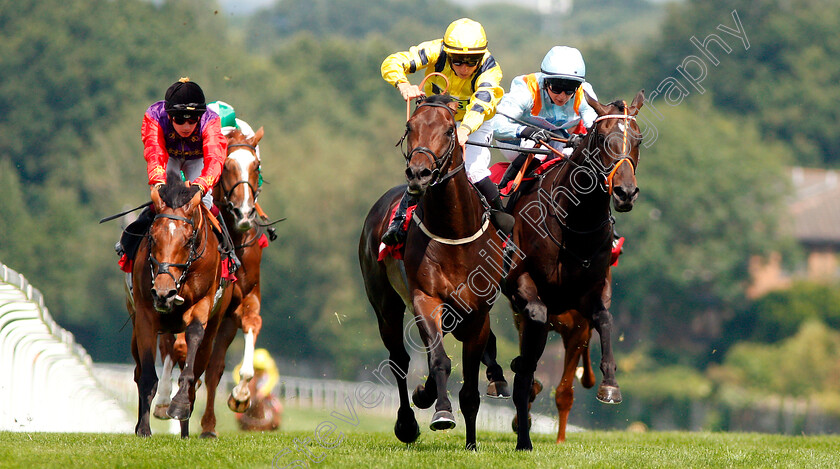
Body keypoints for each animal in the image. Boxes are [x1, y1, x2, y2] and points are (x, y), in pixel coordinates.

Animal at [126, 170, 230, 436]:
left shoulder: (202, 306)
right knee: (139, 369)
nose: (165, 293)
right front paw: (143, 428)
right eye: (152, 237)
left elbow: (193, 342)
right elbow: (146, 375)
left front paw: (181, 403)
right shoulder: (145, 313)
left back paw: (185, 428)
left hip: (214, 326)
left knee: (200, 367)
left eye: (188, 241)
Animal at [356, 94, 502, 450]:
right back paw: (408, 422)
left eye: (450, 130)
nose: (419, 173)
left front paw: (472, 443)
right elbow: (439, 360)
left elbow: (470, 386)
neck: (453, 232)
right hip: (386, 304)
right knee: (399, 359)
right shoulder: (425, 298)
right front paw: (441, 411)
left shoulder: (478, 314)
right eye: (410, 126)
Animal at [502, 91, 648, 450]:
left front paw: (610, 384)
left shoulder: (590, 299)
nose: (625, 192)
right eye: (603, 138)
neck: (575, 222)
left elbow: (605, 320)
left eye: (638, 139)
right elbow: (535, 321)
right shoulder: (522, 284)